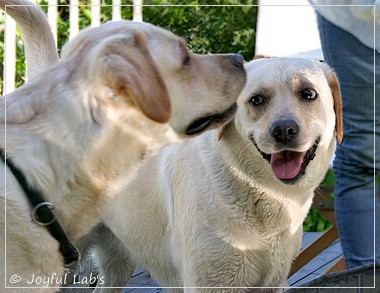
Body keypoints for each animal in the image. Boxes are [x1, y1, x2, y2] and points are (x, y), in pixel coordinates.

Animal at [93, 56, 342, 290]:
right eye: (257, 100)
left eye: (308, 93)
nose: (283, 130)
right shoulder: (207, 283)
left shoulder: (273, 281)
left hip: (117, 266)